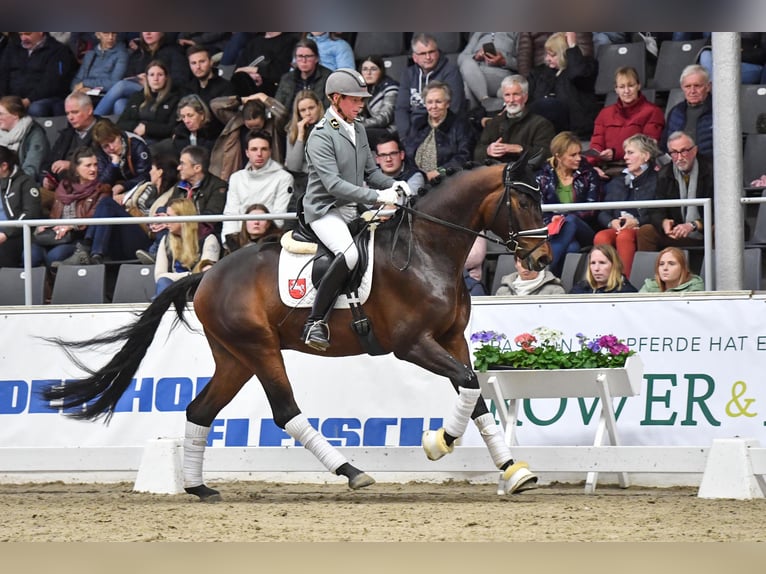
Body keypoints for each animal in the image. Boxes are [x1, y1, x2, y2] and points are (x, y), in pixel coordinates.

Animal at [40, 160, 552, 502]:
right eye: (524, 201)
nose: (542, 258)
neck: (427, 249)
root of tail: (206, 276)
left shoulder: (450, 339)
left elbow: (475, 393)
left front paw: (514, 472)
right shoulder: (412, 345)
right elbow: (467, 383)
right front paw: (439, 443)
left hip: (234, 358)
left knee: (201, 410)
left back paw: (199, 487)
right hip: (260, 349)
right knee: (285, 410)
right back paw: (351, 471)